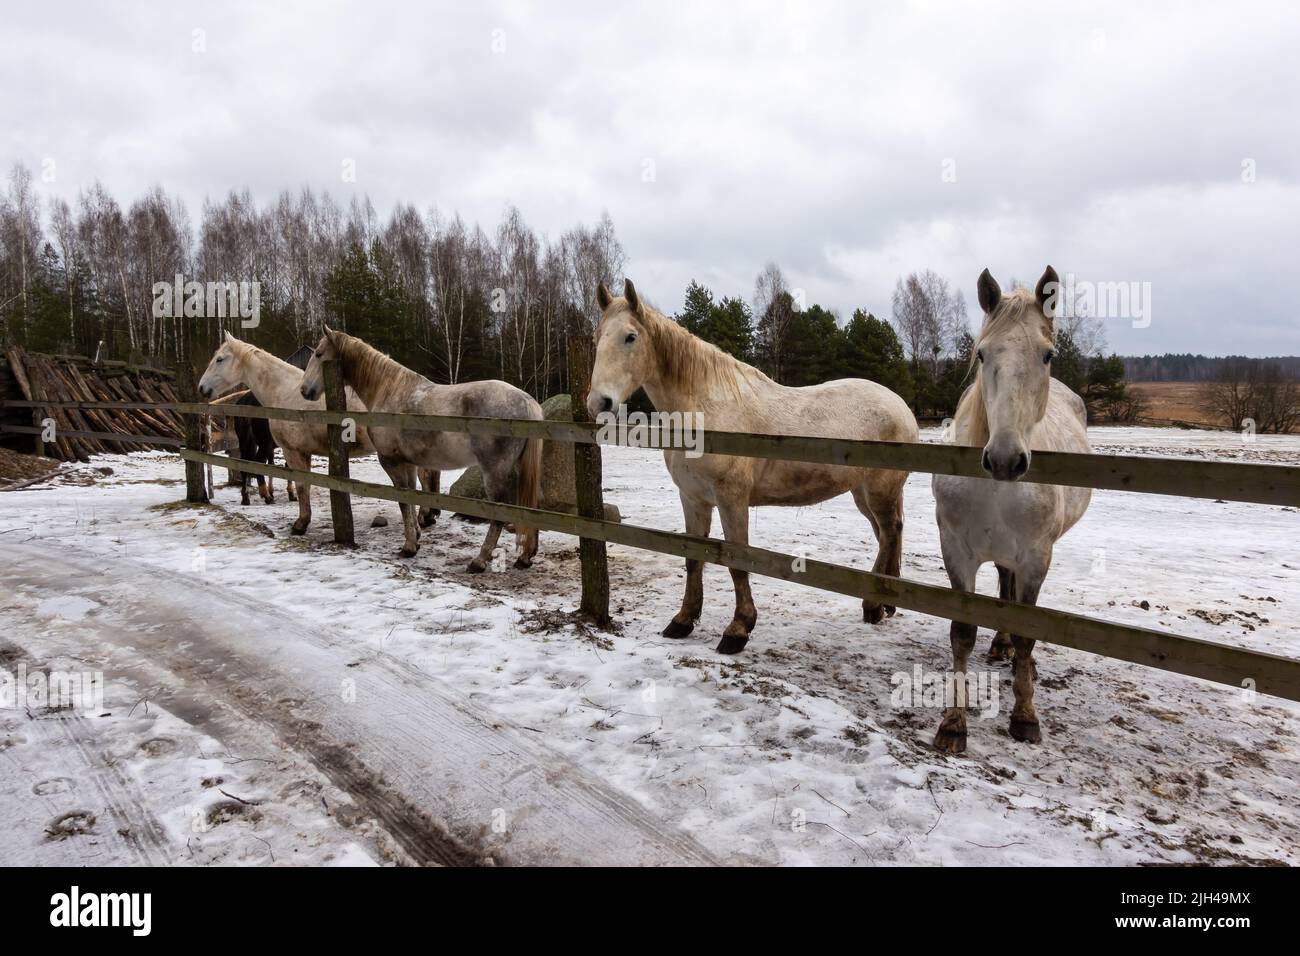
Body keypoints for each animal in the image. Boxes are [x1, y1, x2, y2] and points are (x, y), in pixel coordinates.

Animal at [590, 278, 915, 658]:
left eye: (630, 337)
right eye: (597, 337)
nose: (599, 402)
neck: (706, 412)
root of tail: (899, 404)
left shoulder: (732, 501)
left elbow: (737, 561)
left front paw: (738, 629)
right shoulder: (693, 499)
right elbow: (692, 559)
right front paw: (683, 620)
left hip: (880, 491)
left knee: (889, 532)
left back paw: (873, 606)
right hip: (862, 494)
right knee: (886, 534)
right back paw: (885, 602)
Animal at [930, 267, 1092, 754]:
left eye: (1047, 355)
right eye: (982, 354)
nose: (1005, 460)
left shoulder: (1036, 556)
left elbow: (1026, 629)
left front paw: (1025, 717)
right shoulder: (957, 551)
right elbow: (962, 633)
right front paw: (953, 723)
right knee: (1004, 586)